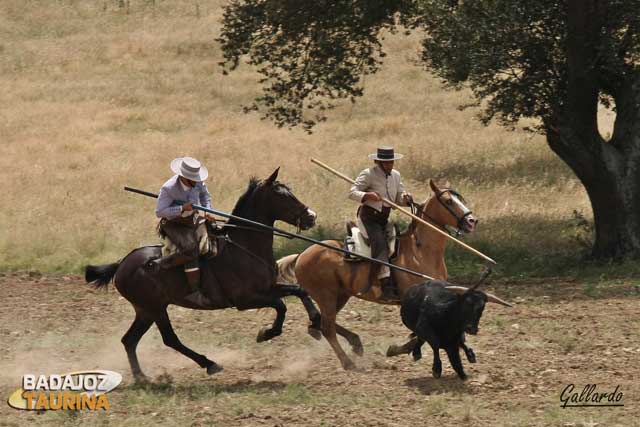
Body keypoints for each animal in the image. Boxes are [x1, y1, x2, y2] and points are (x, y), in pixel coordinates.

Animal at [86, 168, 318, 382]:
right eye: (283, 195)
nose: (311, 217)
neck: (244, 247)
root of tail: (122, 263)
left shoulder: (269, 287)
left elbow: (299, 290)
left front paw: (315, 323)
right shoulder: (246, 299)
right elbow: (281, 305)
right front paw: (266, 333)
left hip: (145, 311)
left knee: (129, 340)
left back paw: (142, 376)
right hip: (155, 308)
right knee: (169, 339)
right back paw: (209, 364)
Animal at [278, 179, 502, 370]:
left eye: (461, 199)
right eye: (448, 201)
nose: (472, 221)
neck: (420, 251)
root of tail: (302, 255)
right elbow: (420, 333)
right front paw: (398, 350)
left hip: (340, 295)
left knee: (320, 323)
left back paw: (354, 343)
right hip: (327, 297)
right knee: (327, 327)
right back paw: (348, 362)